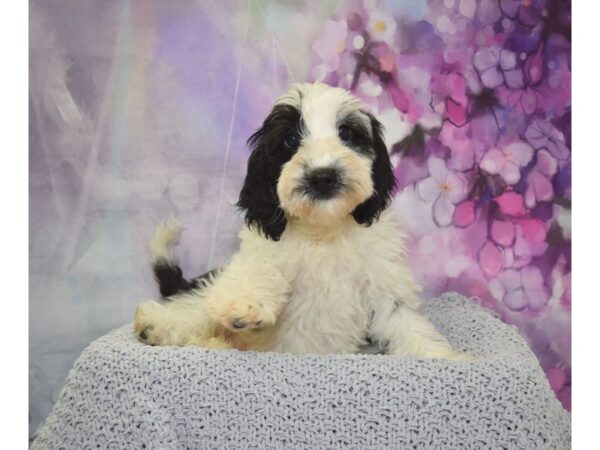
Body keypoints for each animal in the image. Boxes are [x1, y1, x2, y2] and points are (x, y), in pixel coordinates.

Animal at [135, 82, 468, 360]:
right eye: (290, 139)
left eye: (347, 134)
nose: (323, 176)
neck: (323, 230)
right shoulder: (267, 251)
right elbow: (259, 272)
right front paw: (244, 303)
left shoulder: (383, 282)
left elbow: (405, 323)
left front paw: (445, 359)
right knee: (195, 305)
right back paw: (157, 325)